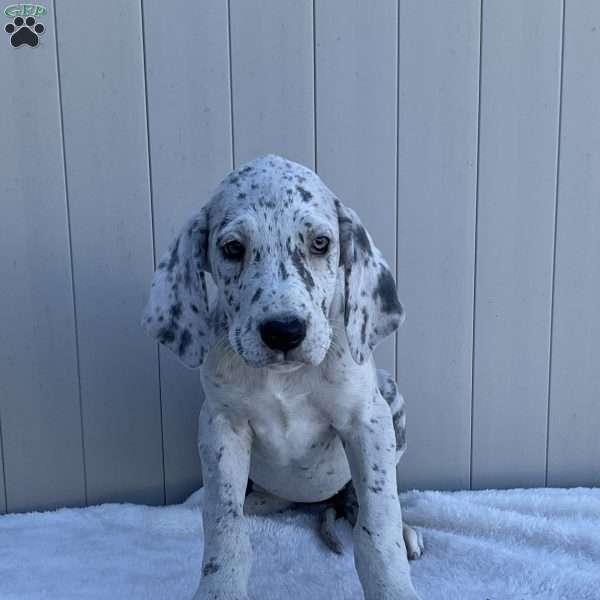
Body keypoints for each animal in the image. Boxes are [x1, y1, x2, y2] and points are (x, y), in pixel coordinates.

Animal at [143, 156, 422, 600]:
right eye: (233, 248)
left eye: (320, 243)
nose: (284, 331)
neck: (285, 379)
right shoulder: (221, 428)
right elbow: (224, 522)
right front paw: (220, 588)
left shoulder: (367, 421)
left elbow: (378, 524)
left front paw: (392, 587)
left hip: (392, 399)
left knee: (364, 503)